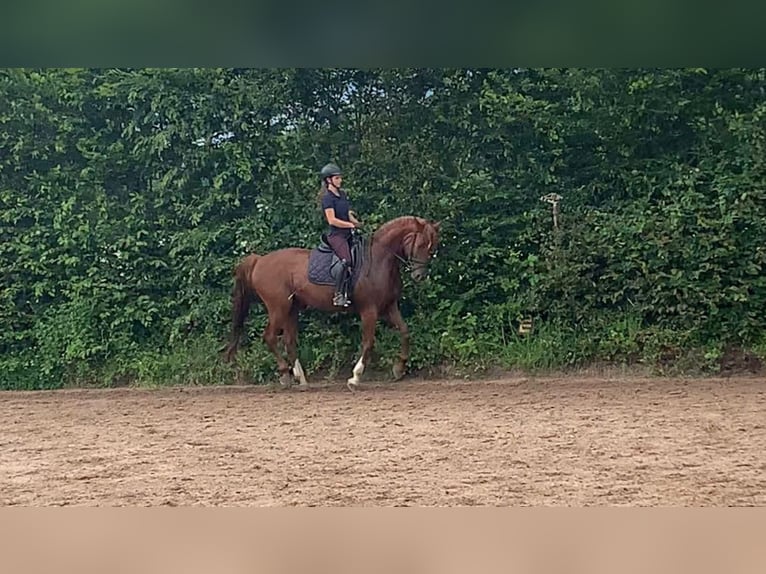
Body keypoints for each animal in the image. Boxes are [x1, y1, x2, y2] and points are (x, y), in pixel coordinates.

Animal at [225, 216, 440, 392]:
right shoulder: (369, 310)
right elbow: (369, 343)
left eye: (433, 247)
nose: (419, 276)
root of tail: (259, 260)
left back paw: (301, 380)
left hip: (291, 308)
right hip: (278, 307)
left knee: (289, 340)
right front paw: (355, 378)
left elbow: (405, 331)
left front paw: (399, 368)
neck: (380, 259)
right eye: (421, 244)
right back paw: (285, 375)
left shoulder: (389, 306)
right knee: (270, 337)